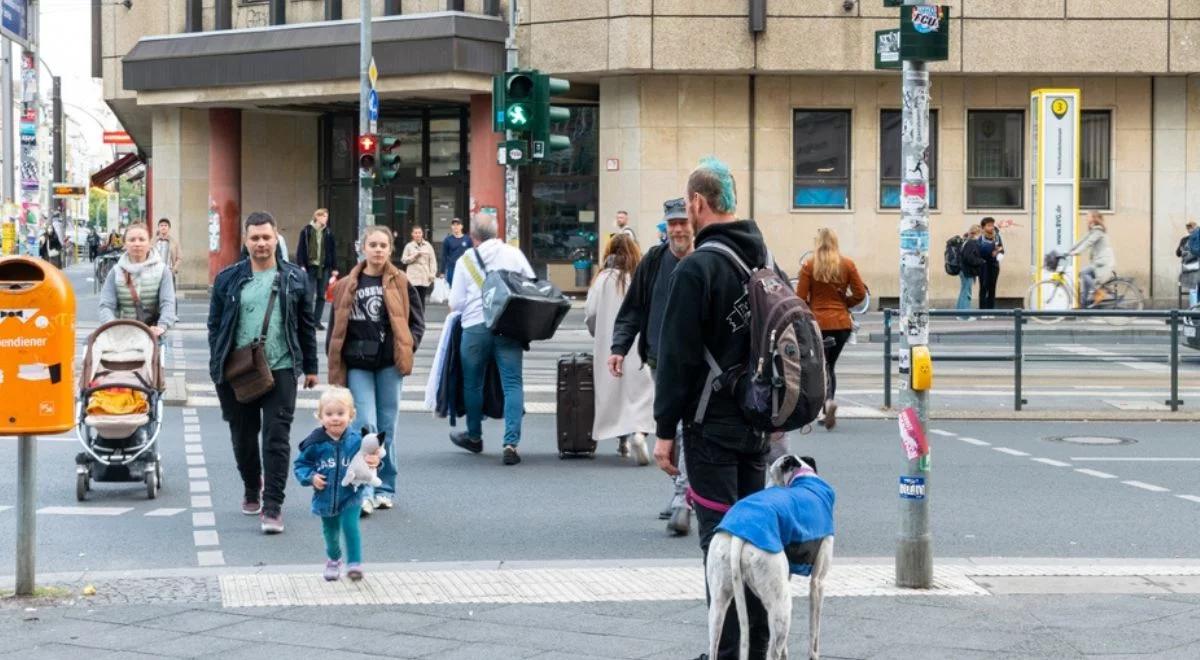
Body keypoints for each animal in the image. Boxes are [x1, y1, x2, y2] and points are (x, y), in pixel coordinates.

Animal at [700, 456, 835, 660]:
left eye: (770, 478)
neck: (804, 478)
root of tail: (740, 534)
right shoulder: (818, 582)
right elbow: (814, 635)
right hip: (782, 605)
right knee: (772, 651)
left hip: (719, 601)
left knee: (714, 644)